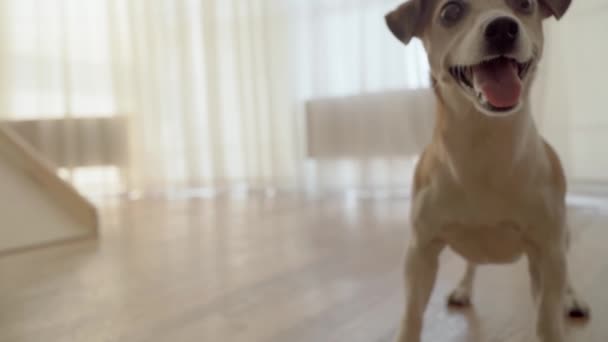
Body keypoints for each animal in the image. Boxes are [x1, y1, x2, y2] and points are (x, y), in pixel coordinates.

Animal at [388, 0, 592, 342]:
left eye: (525, 4)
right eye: (450, 12)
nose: (502, 28)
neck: (484, 145)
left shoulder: (547, 252)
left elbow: (547, 320)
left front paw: (558, 310)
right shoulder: (420, 252)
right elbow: (411, 316)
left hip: (560, 241)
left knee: (564, 276)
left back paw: (572, 298)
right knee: (472, 263)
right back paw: (463, 288)